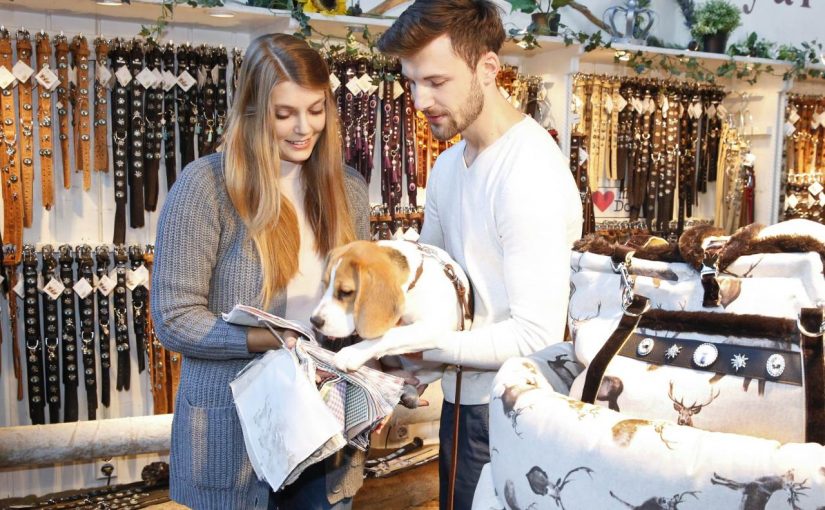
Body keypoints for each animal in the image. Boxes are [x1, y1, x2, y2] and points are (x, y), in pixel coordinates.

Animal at [308, 240, 470, 382]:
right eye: (325, 284)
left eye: (346, 292)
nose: (315, 321)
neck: (415, 284)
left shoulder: (435, 328)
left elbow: (392, 334)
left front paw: (353, 352)